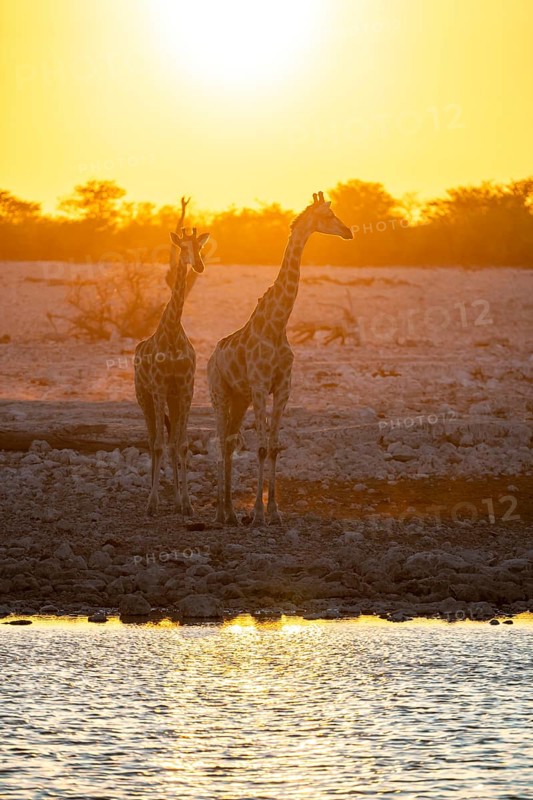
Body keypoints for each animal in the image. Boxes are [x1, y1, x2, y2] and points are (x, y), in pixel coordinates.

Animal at [208, 191, 353, 526]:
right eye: (328, 216)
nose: (348, 231)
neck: (276, 325)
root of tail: (210, 356)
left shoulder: (283, 388)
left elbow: (274, 448)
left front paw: (274, 511)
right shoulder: (261, 386)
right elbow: (261, 448)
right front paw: (258, 514)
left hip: (239, 398)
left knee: (230, 442)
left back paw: (231, 512)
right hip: (220, 393)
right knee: (221, 441)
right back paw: (221, 513)